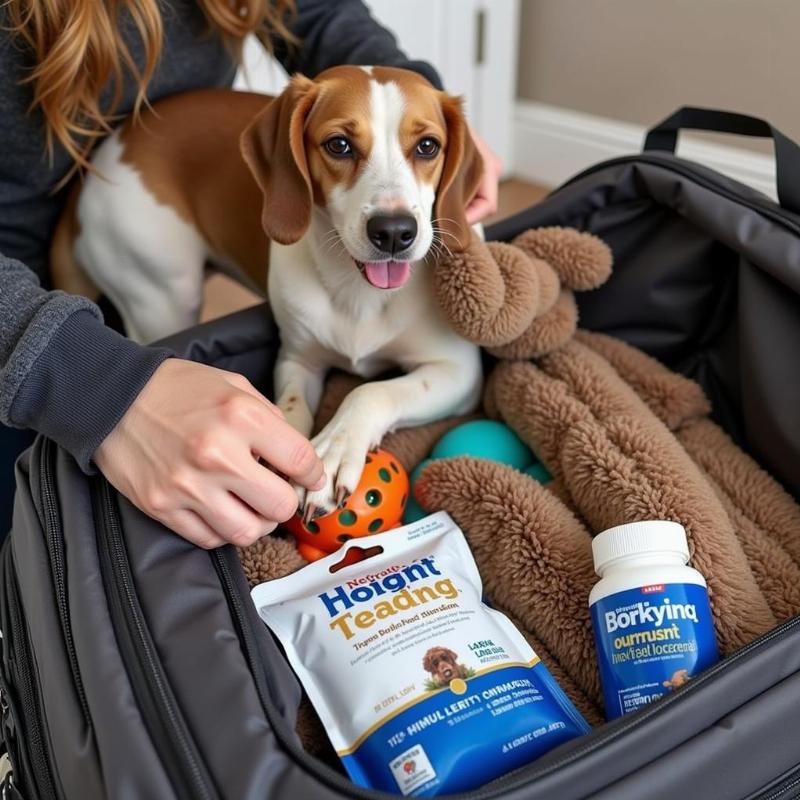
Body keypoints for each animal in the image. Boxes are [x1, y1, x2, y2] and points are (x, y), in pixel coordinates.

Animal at [54, 65, 488, 516]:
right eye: (339, 145)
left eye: (427, 146)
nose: (393, 232)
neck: (358, 293)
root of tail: (98, 160)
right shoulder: (297, 360)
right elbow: (292, 406)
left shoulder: (457, 372)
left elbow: (372, 391)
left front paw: (337, 446)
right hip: (160, 297)